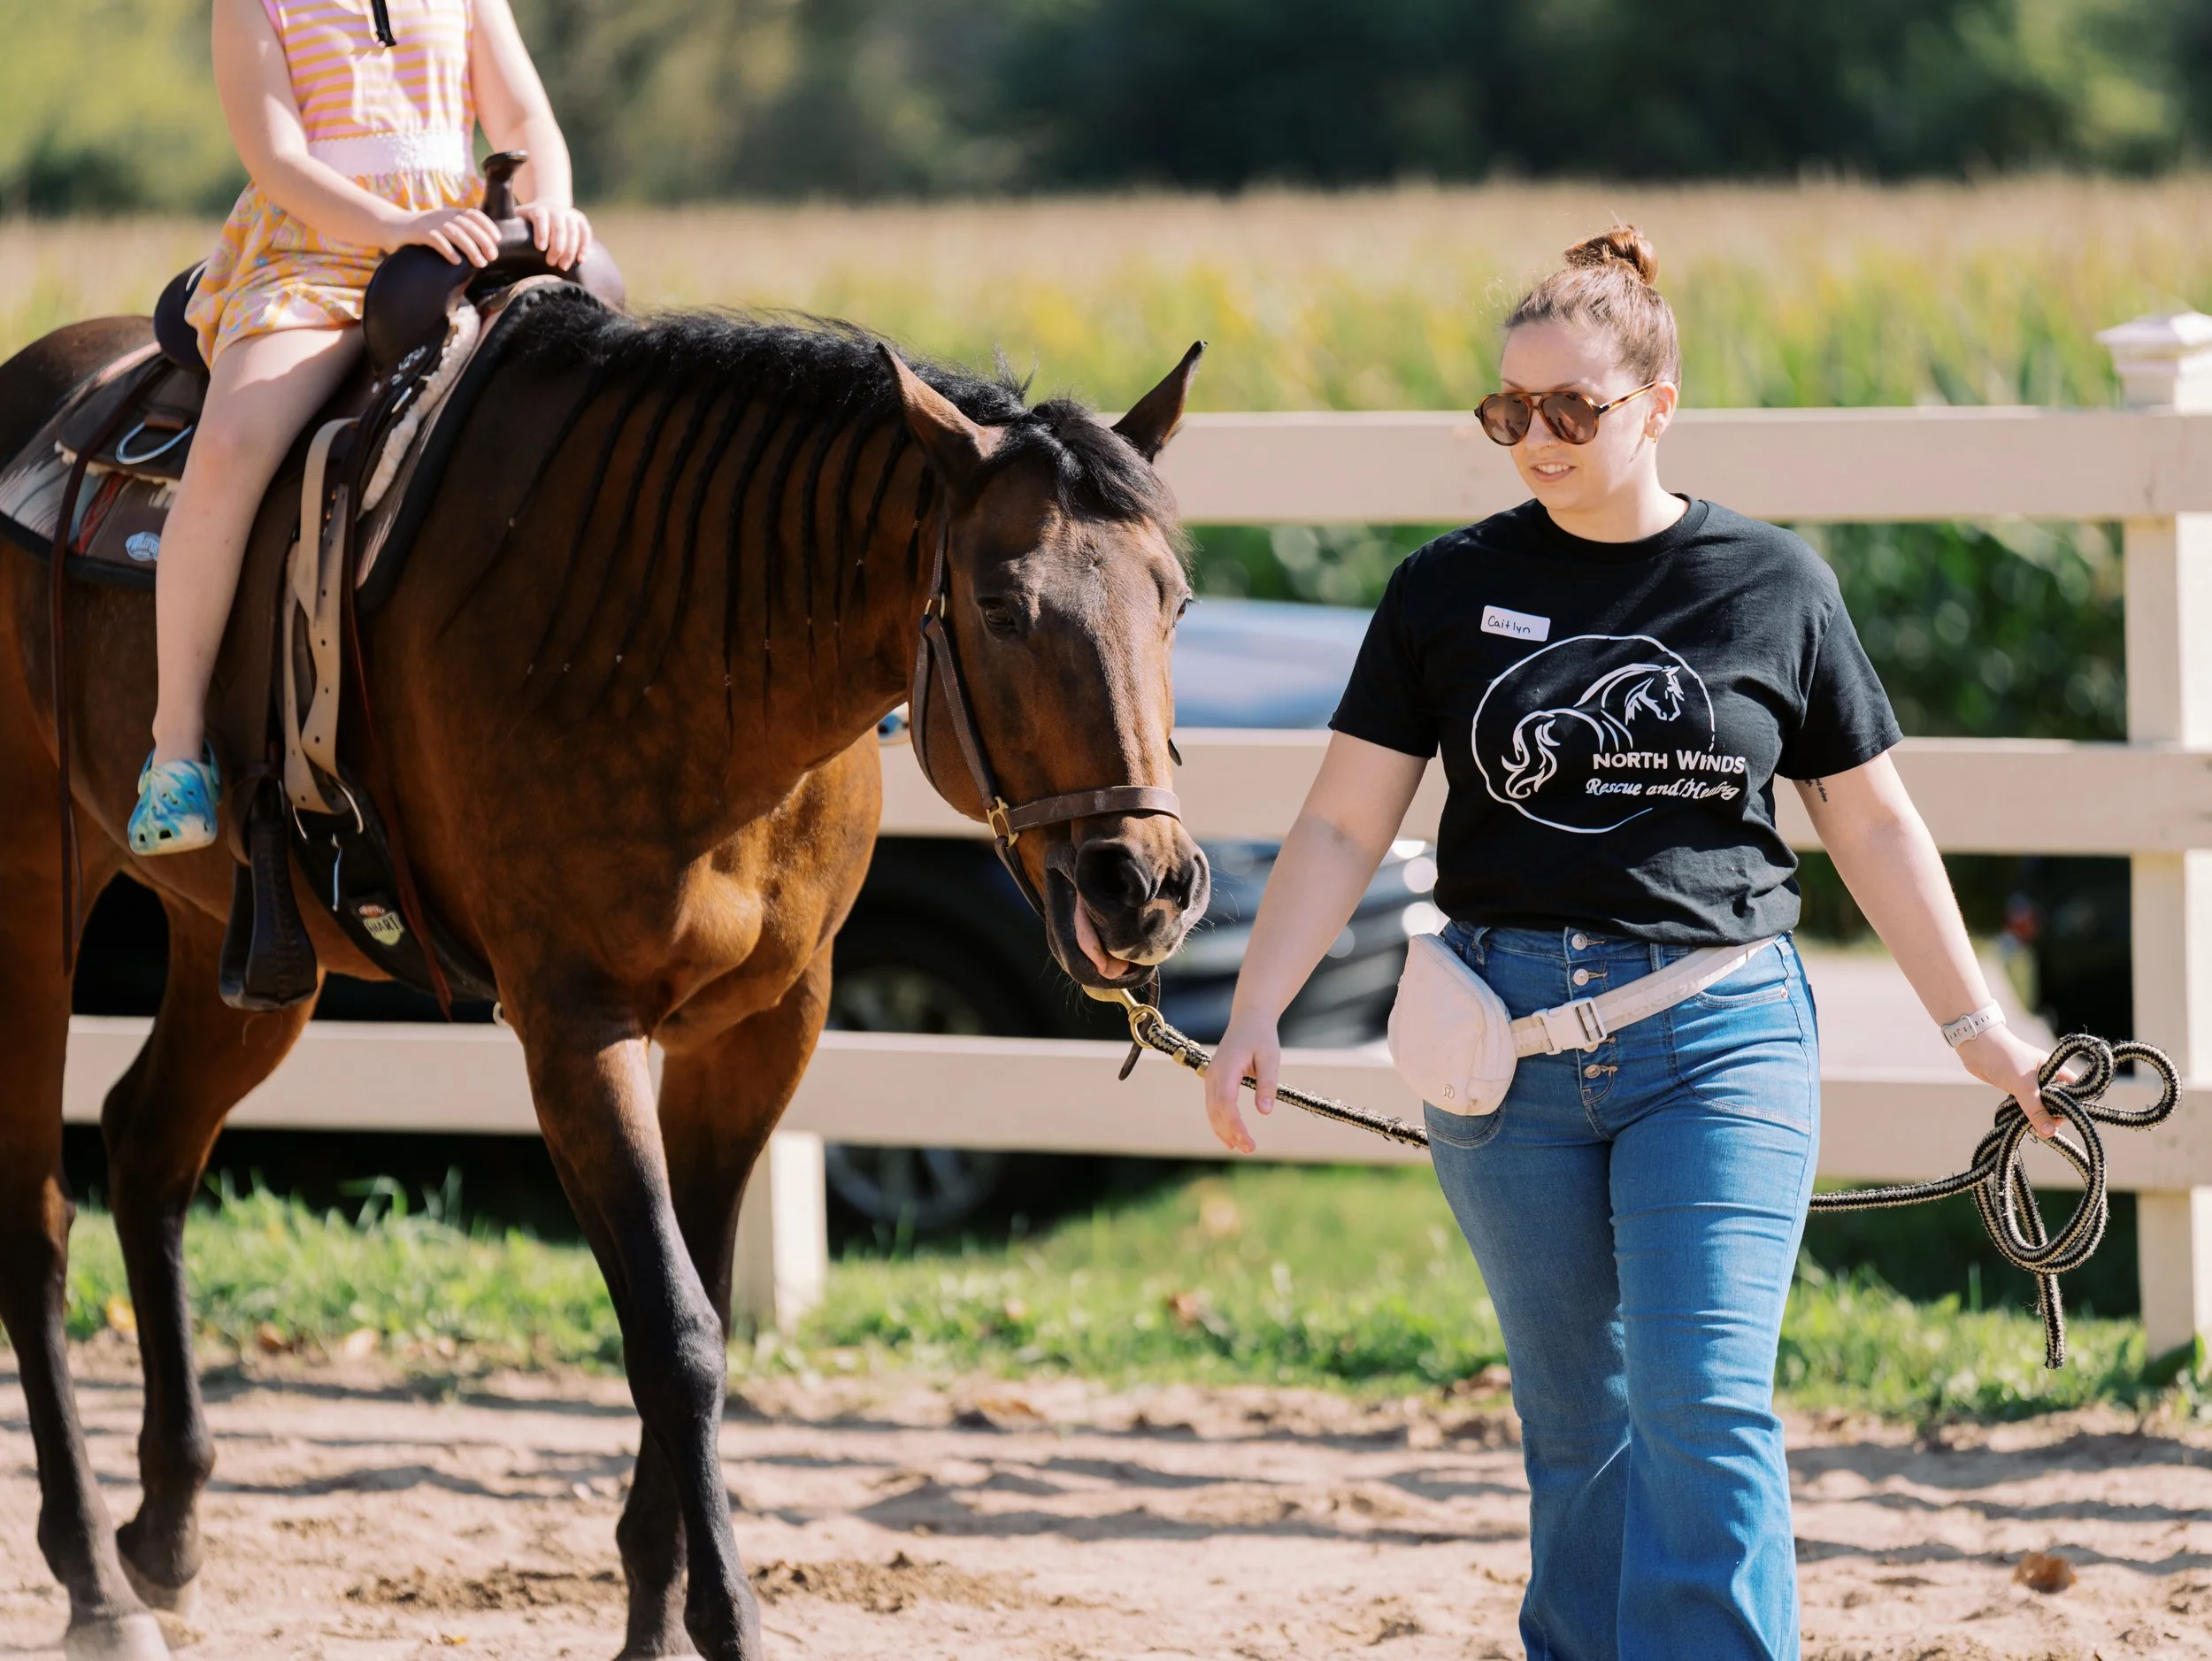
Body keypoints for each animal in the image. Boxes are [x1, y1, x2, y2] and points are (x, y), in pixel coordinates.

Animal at [0, 301, 1210, 1660]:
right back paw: (94, 1580)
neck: (671, 646)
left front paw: (653, 1608)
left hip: (254, 956)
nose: (1143, 883)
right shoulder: (578, 1031)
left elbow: (705, 1303)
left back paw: (164, 1533)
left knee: (147, 1143)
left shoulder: (761, 1031)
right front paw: (723, 1618)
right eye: (1002, 607)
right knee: (34, 1216)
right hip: (30, 893)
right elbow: (674, 1330)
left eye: (1175, 599)